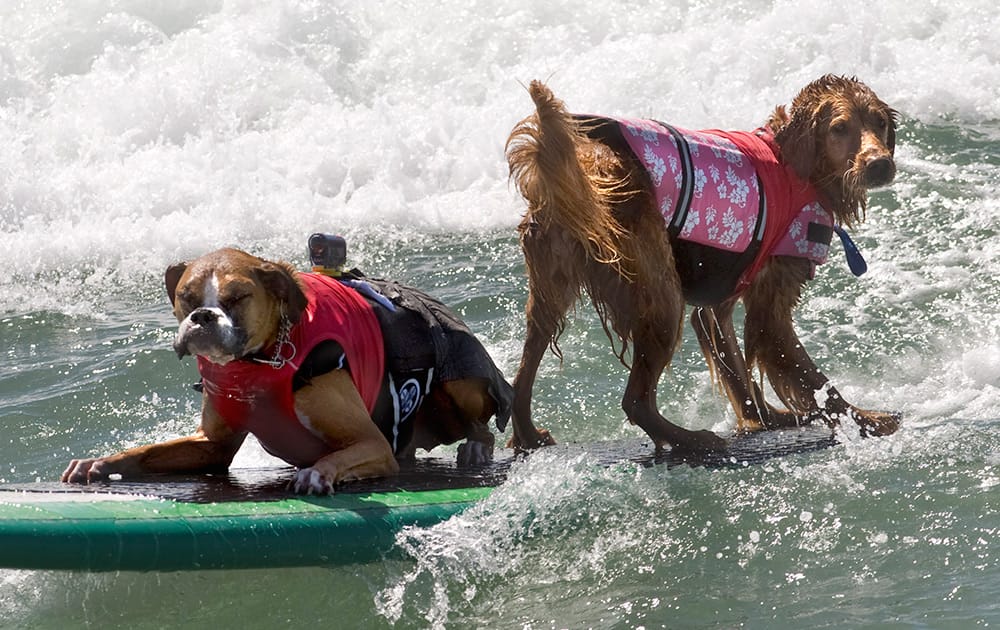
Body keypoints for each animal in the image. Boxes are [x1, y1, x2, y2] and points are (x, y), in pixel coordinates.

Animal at [64, 247, 516, 494]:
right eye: (186, 296)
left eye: (237, 297)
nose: (203, 316)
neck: (259, 362)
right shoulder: (212, 447)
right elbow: (146, 452)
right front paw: (101, 463)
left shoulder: (371, 445)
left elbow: (338, 457)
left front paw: (318, 474)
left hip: (461, 378)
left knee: (484, 422)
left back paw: (476, 447)